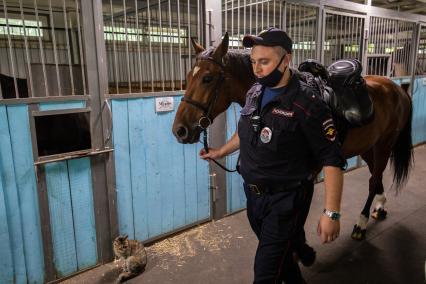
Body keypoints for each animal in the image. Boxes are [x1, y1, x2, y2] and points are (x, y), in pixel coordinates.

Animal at [172, 34, 412, 241]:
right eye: (188, 77)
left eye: (207, 78)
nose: (179, 130)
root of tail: (397, 89)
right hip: (369, 146)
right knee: (375, 177)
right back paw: (380, 207)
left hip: (384, 145)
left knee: (373, 181)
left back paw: (361, 224)